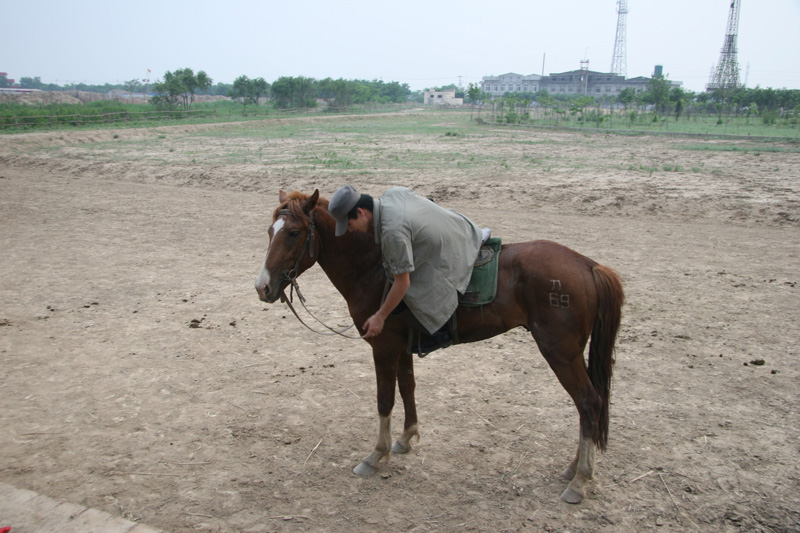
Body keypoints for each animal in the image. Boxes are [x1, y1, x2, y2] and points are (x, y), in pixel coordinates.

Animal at [256, 188, 624, 502]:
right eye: (270, 231)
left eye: (293, 233)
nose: (262, 287)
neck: (373, 266)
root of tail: (589, 265)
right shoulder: (401, 347)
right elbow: (407, 387)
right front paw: (406, 438)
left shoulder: (383, 347)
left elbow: (385, 400)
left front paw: (376, 454)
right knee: (589, 406)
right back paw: (574, 469)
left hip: (561, 354)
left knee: (589, 403)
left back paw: (580, 479)